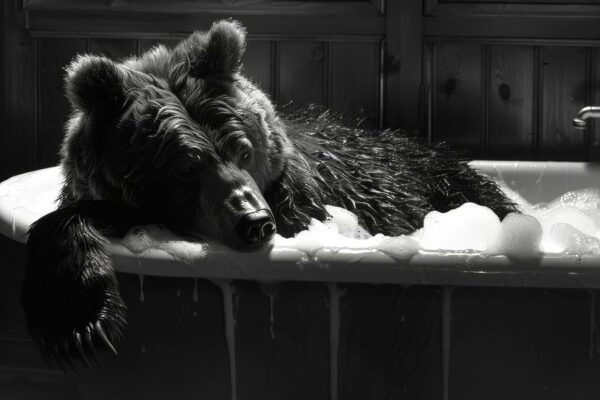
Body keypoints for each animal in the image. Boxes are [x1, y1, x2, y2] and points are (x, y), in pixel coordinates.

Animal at [19, 18, 516, 368]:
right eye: (185, 167)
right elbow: (73, 217)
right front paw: (78, 324)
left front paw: (78, 328)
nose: (254, 221)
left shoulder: (315, 200)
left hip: (443, 181)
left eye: (242, 148)